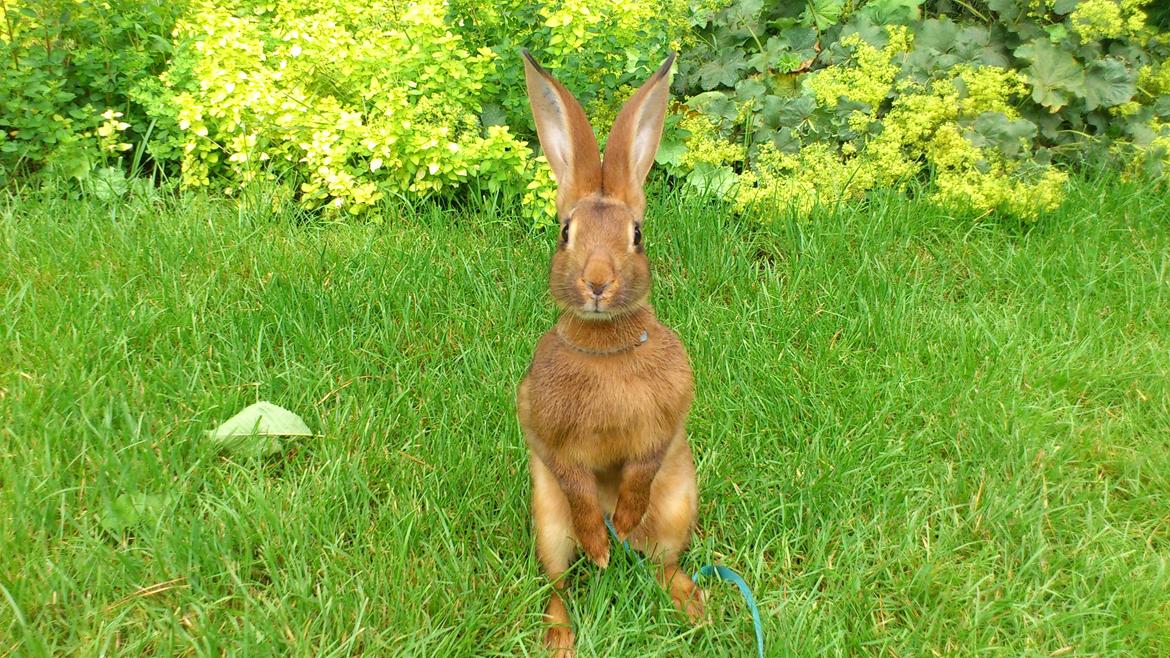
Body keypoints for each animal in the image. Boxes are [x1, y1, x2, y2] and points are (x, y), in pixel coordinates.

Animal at [515, 50, 704, 657]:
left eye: (636, 234)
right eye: (564, 232)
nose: (597, 282)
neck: (605, 346)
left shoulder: (664, 428)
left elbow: (642, 464)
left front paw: (620, 516)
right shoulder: (547, 438)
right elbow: (573, 476)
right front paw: (599, 541)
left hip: (677, 503)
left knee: (664, 563)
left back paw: (692, 604)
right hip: (548, 521)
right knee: (556, 580)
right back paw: (564, 631)